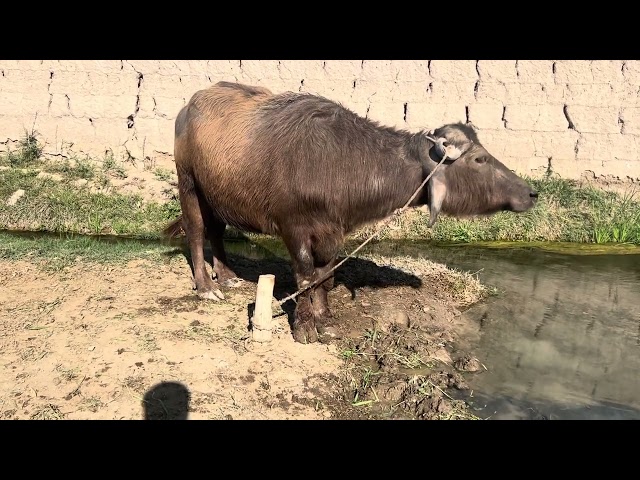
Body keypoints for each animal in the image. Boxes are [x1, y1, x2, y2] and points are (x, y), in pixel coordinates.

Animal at [162, 81, 536, 344]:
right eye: (479, 159)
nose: (531, 192)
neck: (342, 161)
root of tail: (189, 105)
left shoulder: (334, 230)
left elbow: (325, 276)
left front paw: (325, 317)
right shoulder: (293, 227)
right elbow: (305, 275)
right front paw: (305, 326)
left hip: (217, 194)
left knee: (217, 231)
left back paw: (227, 276)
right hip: (188, 183)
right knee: (196, 231)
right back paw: (206, 286)